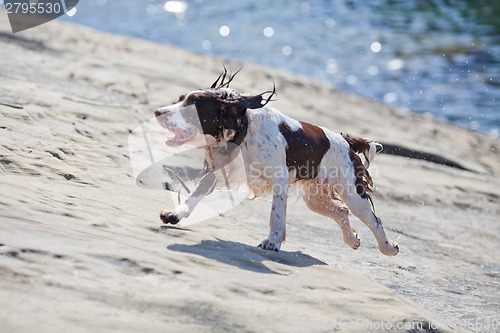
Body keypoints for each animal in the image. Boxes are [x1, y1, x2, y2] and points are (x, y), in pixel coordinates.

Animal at [154, 70, 400, 255]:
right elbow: (192, 197)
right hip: (316, 198)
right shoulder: (215, 171)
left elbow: (277, 215)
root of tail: (346, 141)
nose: (158, 111)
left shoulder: (279, 180)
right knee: (341, 212)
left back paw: (388, 248)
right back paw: (352, 239)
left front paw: (272, 241)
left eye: (193, 107)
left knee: (374, 220)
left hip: (353, 194)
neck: (242, 132)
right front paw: (174, 215)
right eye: (179, 99)